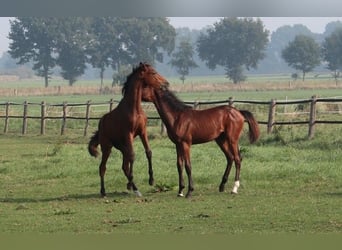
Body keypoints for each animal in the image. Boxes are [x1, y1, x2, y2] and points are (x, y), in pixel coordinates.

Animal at [87, 63, 169, 197]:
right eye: (153, 73)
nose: (166, 84)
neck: (134, 109)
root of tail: (101, 123)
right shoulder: (128, 134)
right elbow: (133, 156)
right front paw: (132, 185)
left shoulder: (142, 132)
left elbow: (148, 152)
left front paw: (151, 180)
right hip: (107, 147)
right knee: (102, 167)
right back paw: (104, 192)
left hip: (122, 147)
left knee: (124, 166)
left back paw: (133, 187)